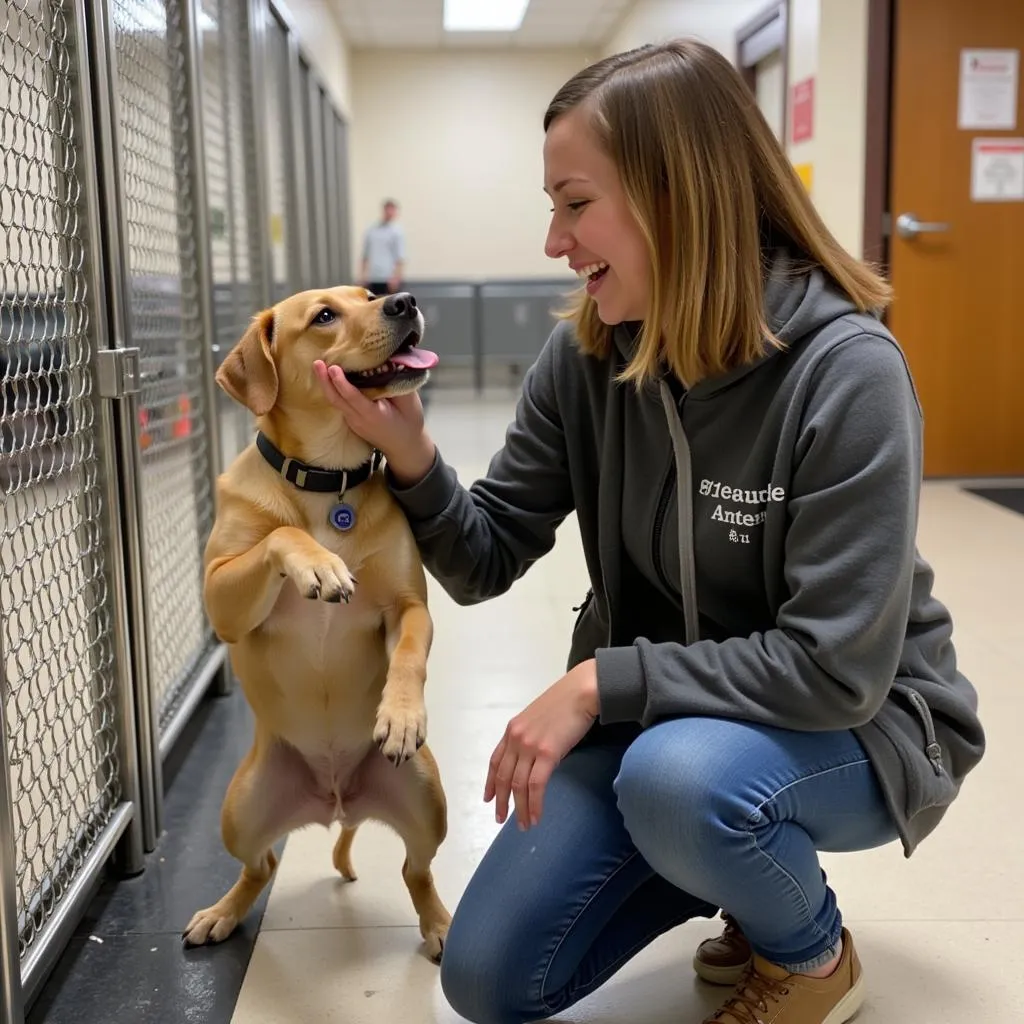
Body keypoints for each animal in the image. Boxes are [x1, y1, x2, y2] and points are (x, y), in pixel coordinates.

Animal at [183, 286, 452, 958]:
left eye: (368, 296)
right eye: (324, 316)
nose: (404, 300)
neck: (329, 483)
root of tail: (336, 803)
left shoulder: (409, 608)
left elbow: (407, 654)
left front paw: (400, 715)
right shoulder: (221, 601)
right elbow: (279, 535)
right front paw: (318, 566)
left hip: (426, 796)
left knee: (417, 869)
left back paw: (439, 923)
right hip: (239, 812)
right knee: (261, 866)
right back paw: (222, 912)